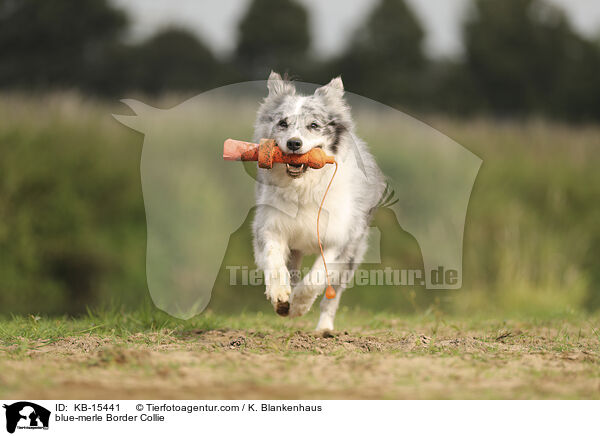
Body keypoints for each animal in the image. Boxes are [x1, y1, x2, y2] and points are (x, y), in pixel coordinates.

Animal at [252, 72, 384, 330]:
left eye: (314, 125)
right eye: (282, 123)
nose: (294, 143)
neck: (304, 186)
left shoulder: (340, 239)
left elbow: (315, 279)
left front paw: (298, 306)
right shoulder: (271, 227)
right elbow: (274, 261)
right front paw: (280, 295)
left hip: (354, 254)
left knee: (331, 298)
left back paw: (324, 328)